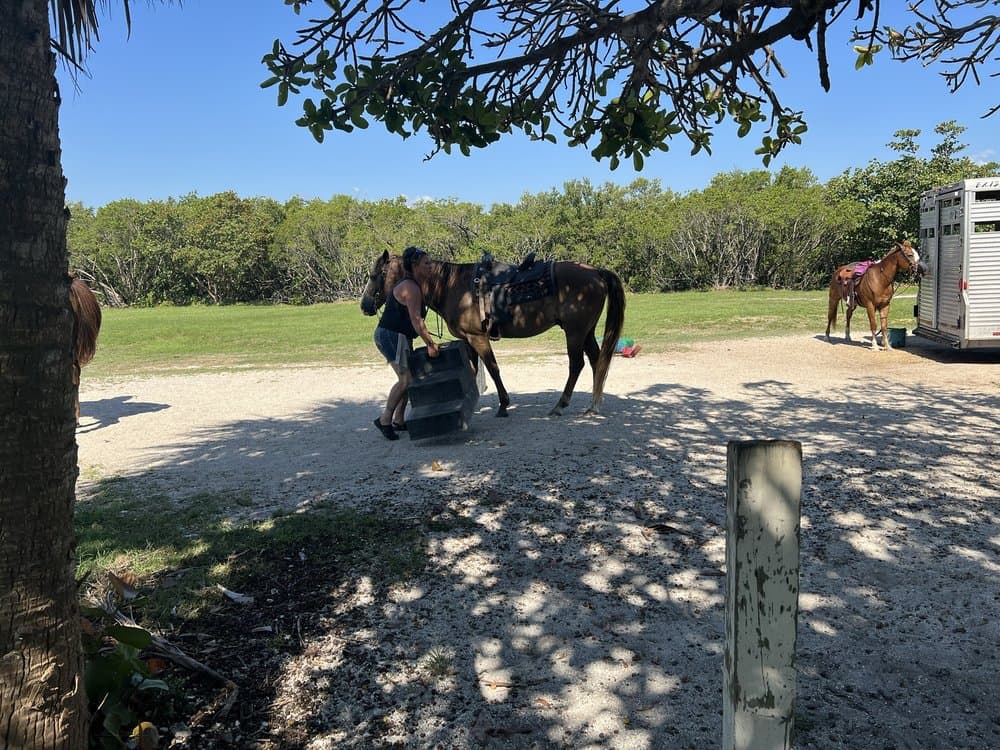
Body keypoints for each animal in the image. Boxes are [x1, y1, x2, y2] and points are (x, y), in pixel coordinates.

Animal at [360, 251, 626, 417]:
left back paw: (561, 405)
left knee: (577, 364)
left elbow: (493, 368)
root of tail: (596, 272)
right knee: (597, 360)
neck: (451, 286)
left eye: (374, 276)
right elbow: (473, 369)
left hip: (575, 332)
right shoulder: (467, 340)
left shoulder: (478, 337)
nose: (364, 305)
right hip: (586, 331)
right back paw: (594, 405)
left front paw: (503, 405)